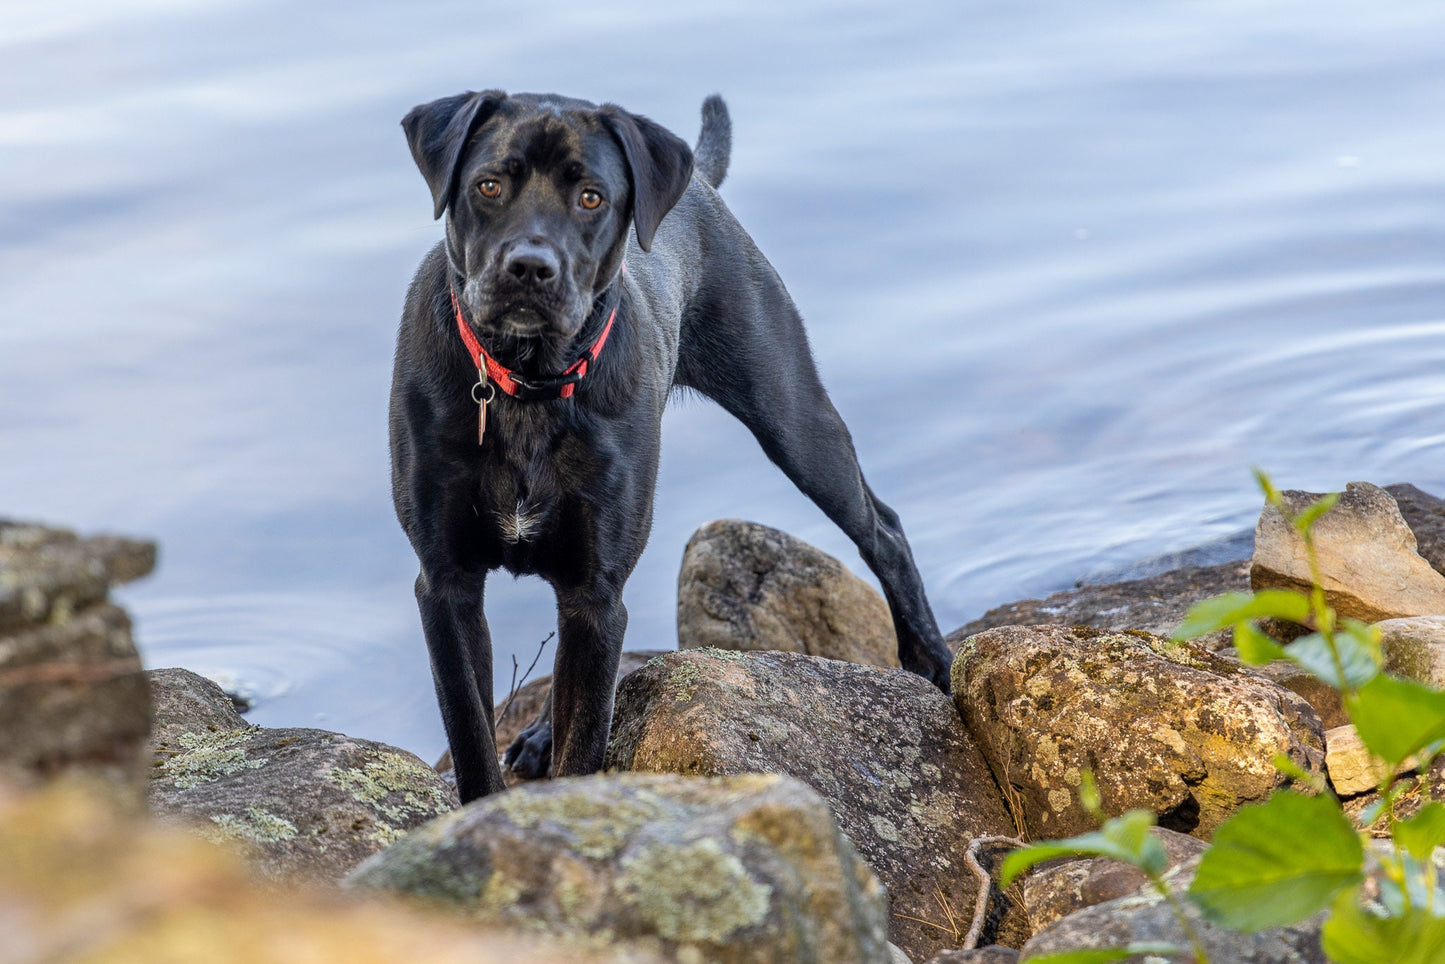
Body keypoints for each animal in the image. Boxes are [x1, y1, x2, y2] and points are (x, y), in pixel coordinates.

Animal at [390, 90, 953, 803]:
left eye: (592, 198)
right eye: (488, 186)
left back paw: (930, 659)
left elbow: (585, 742)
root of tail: (700, 182)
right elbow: (472, 740)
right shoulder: (449, 585)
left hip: (794, 418)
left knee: (883, 528)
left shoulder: (596, 590)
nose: (530, 267)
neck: (529, 385)